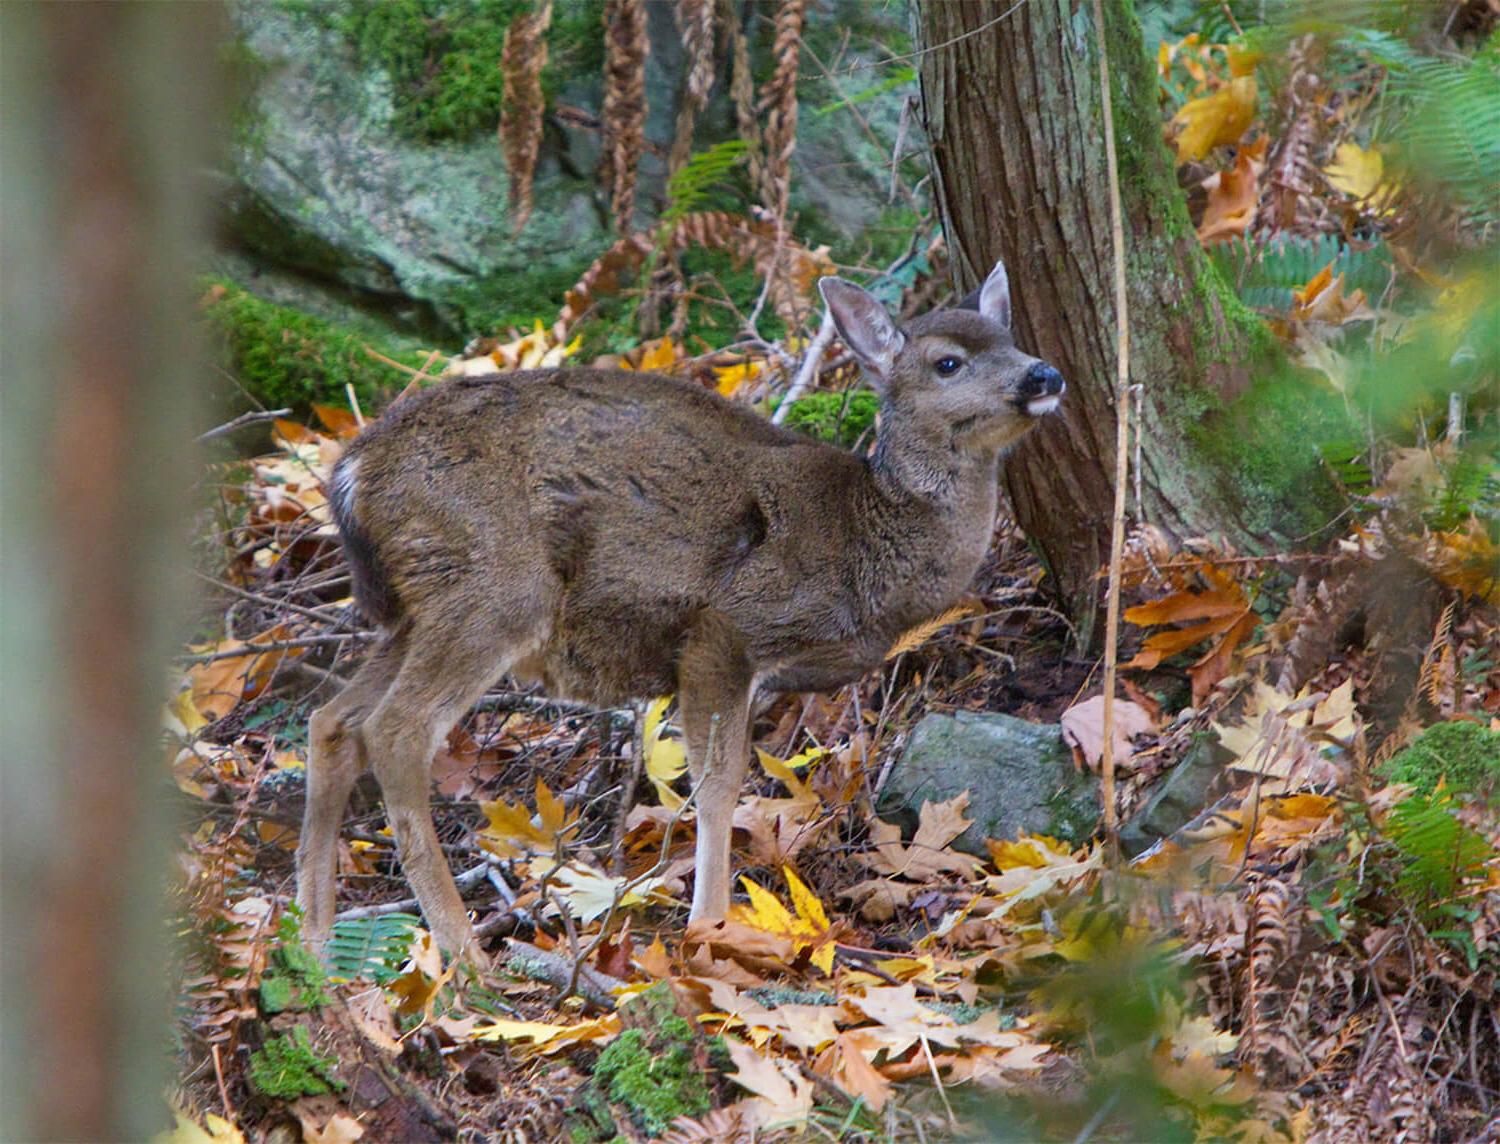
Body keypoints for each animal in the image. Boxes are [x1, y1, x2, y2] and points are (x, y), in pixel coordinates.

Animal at [295, 263, 1068, 959]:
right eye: (947, 362)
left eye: (1011, 338)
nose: (1045, 376)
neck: (863, 544)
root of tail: (353, 472)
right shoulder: (723, 628)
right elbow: (719, 784)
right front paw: (711, 925)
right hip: (494, 587)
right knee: (396, 729)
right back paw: (463, 955)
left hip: (420, 603)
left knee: (334, 720)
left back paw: (315, 945)